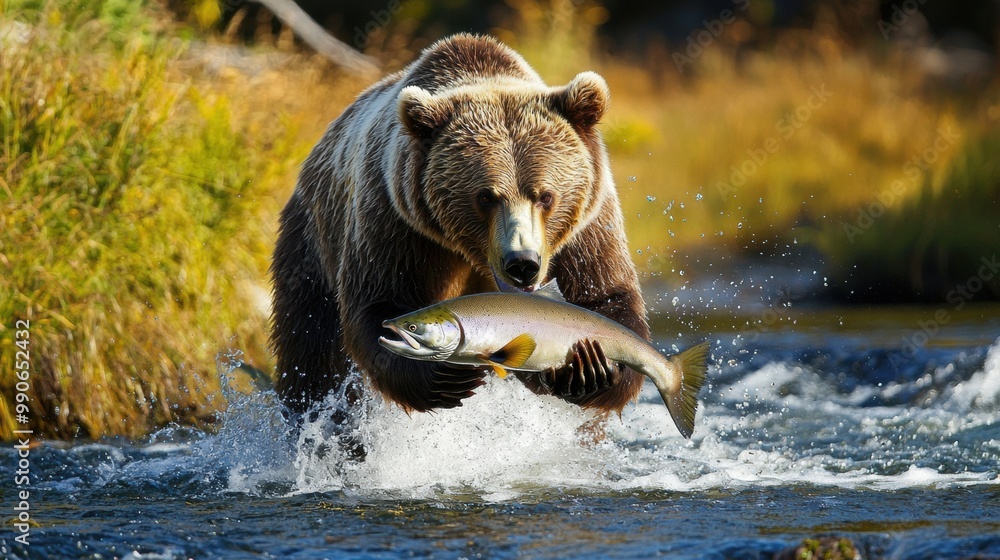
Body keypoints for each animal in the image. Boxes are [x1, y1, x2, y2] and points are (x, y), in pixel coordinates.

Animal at [270, 34, 649, 424]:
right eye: (485, 196)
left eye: (545, 196)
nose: (522, 263)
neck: (471, 254)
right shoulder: (395, 221)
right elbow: (379, 300)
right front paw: (446, 375)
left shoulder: (585, 228)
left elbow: (605, 294)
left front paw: (588, 365)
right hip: (312, 244)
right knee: (312, 353)